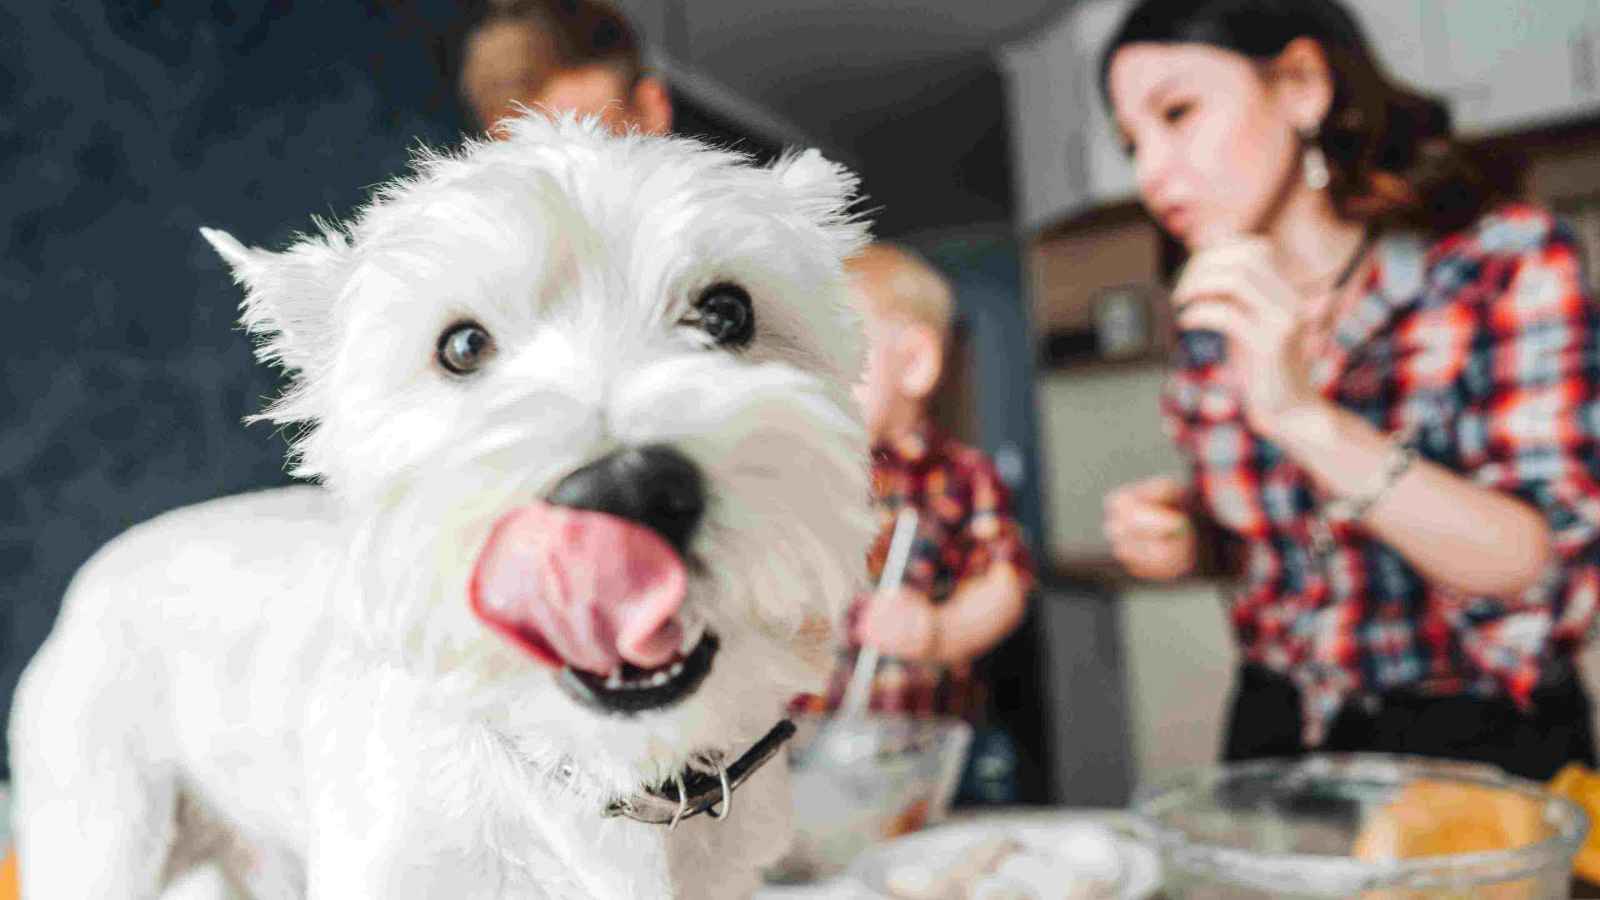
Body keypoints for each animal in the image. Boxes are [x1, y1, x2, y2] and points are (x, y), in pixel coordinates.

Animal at [9, 115, 876, 890]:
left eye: (728, 311)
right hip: (103, 833)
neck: (599, 770)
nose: (624, 490)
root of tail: (92, 575)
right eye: (461, 347)